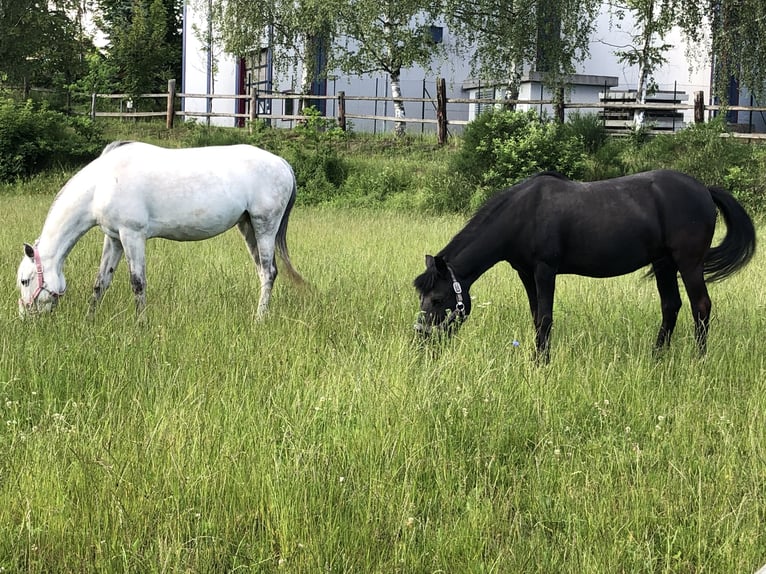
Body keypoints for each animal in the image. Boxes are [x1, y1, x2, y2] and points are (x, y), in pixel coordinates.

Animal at [16, 141, 304, 318]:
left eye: (25, 281)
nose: (24, 316)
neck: (102, 183)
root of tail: (282, 163)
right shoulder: (114, 238)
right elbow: (101, 282)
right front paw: (89, 321)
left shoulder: (132, 235)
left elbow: (138, 283)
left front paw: (140, 325)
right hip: (248, 227)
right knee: (262, 272)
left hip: (264, 225)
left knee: (269, 272)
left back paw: (259, 319)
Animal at [414, 169, 756, 362]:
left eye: (437, 299)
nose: (421, 339)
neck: (523, 214)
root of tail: (704, 190)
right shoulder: (525, 272)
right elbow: (536, 316)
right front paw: (537, 357)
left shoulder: (545, 270)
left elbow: (545, 318)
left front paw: (541, 363)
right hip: (663, 264)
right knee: (671, 306)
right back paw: (657, 357)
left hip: (688, 262)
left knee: (701, 306)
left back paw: (699, 360)